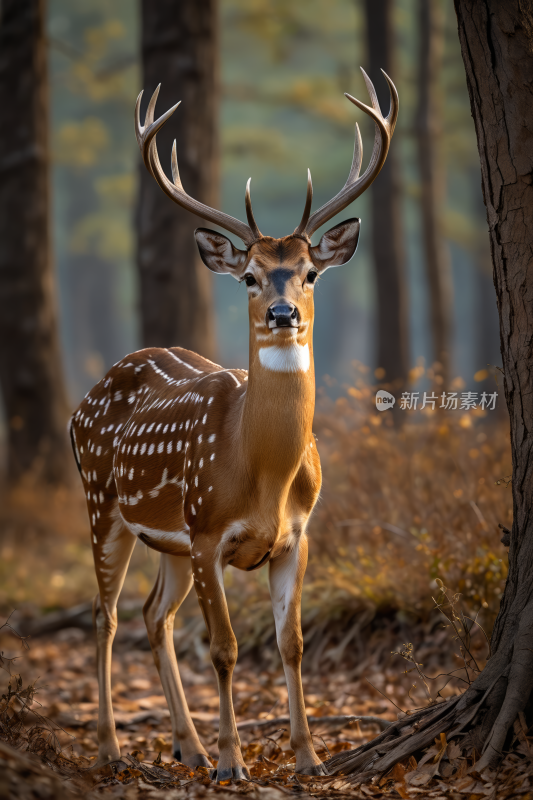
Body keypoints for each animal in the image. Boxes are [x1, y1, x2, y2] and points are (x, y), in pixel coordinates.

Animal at [68, 69, 396, 780]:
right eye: (248, 275)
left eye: (310, 272)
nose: (282, 312)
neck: (262, 473)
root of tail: (86, 398)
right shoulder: (208, 532)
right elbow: (224, 649)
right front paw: (232, 762)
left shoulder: (297, 536)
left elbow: (291, 643)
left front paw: (308, 757)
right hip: (105, 504)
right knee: (106, 616)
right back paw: (112, 747)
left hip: (166, 540)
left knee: (152, 615)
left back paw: (184, 745)